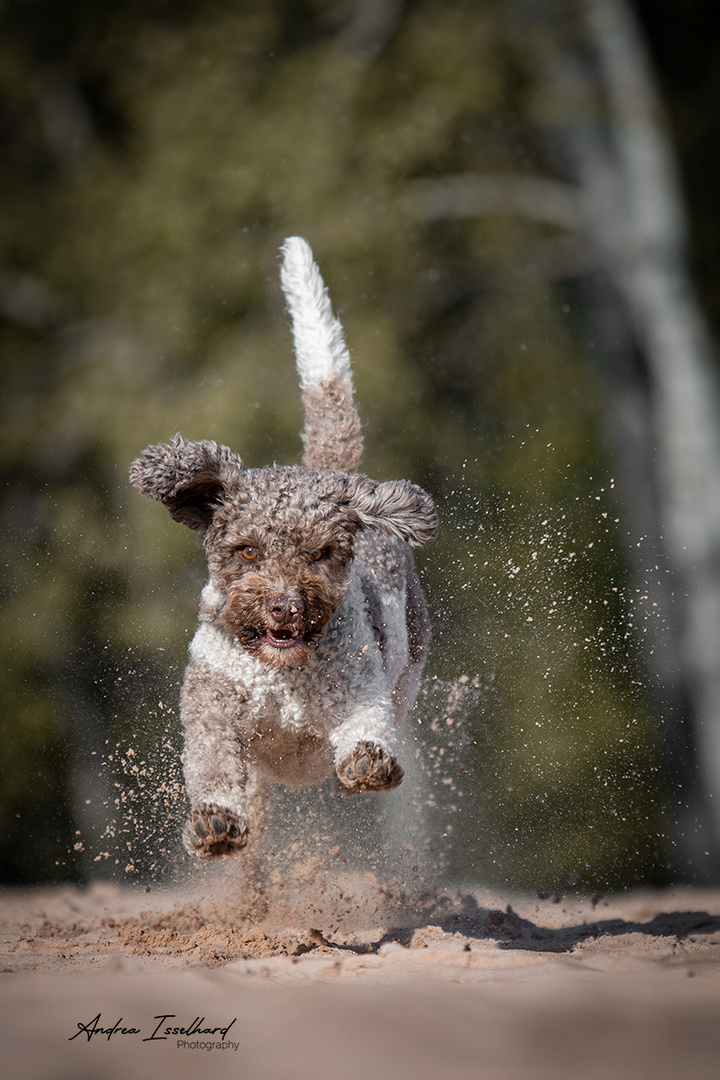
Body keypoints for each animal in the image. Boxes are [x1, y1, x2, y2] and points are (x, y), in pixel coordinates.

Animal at [129, 238, 436, 859]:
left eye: (320, 553)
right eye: (247, 552)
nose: (285, 608)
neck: (281, 674)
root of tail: (333, 473)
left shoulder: (358, 688)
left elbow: (365, 725)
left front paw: (368, 762)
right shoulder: (214, 703)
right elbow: (214, 761)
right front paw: (216, 821)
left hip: (408, 663)